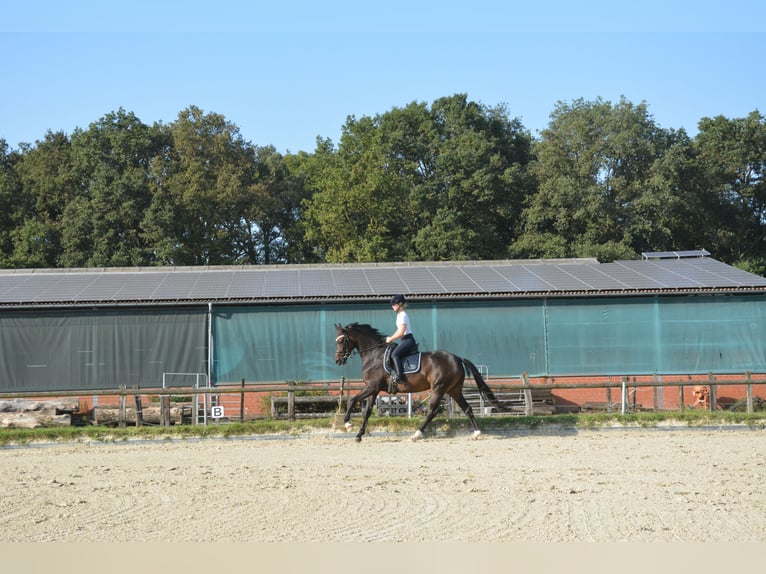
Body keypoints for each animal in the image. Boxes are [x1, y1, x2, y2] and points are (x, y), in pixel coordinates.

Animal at [334, 322, 504, 444]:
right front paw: (358, 435)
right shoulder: (374, 390)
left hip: (438, 388)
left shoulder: (371, 387)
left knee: (432, 411)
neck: (374, 354)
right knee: (467, 408)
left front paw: (348, 425)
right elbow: (367, 412)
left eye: (342, 341)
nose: (338, 360)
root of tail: (457, 358)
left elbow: (352, 400)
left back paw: (416, 435)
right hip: (454, 390)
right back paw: (476, 434)